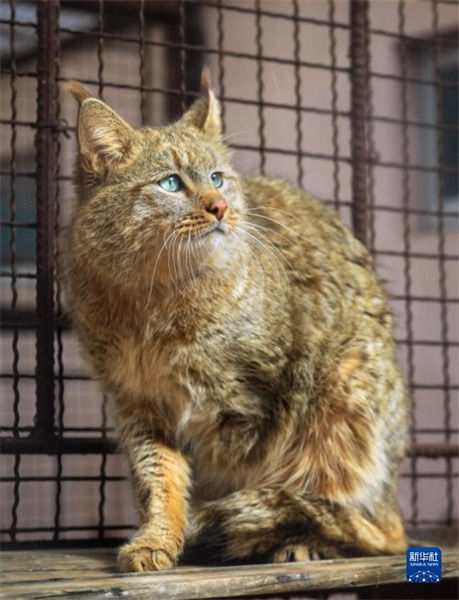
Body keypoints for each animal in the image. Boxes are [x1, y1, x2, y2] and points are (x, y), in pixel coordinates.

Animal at [63, 70, 410, 572]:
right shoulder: (137, 404)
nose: (219, 207)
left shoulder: (256, 401)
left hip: (347, 392)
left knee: (377, 531)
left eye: (217, 179)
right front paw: (158, 537)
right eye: (171, 184)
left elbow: (244, 469)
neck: (153, 303)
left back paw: (300, 539)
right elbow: (158, 478)